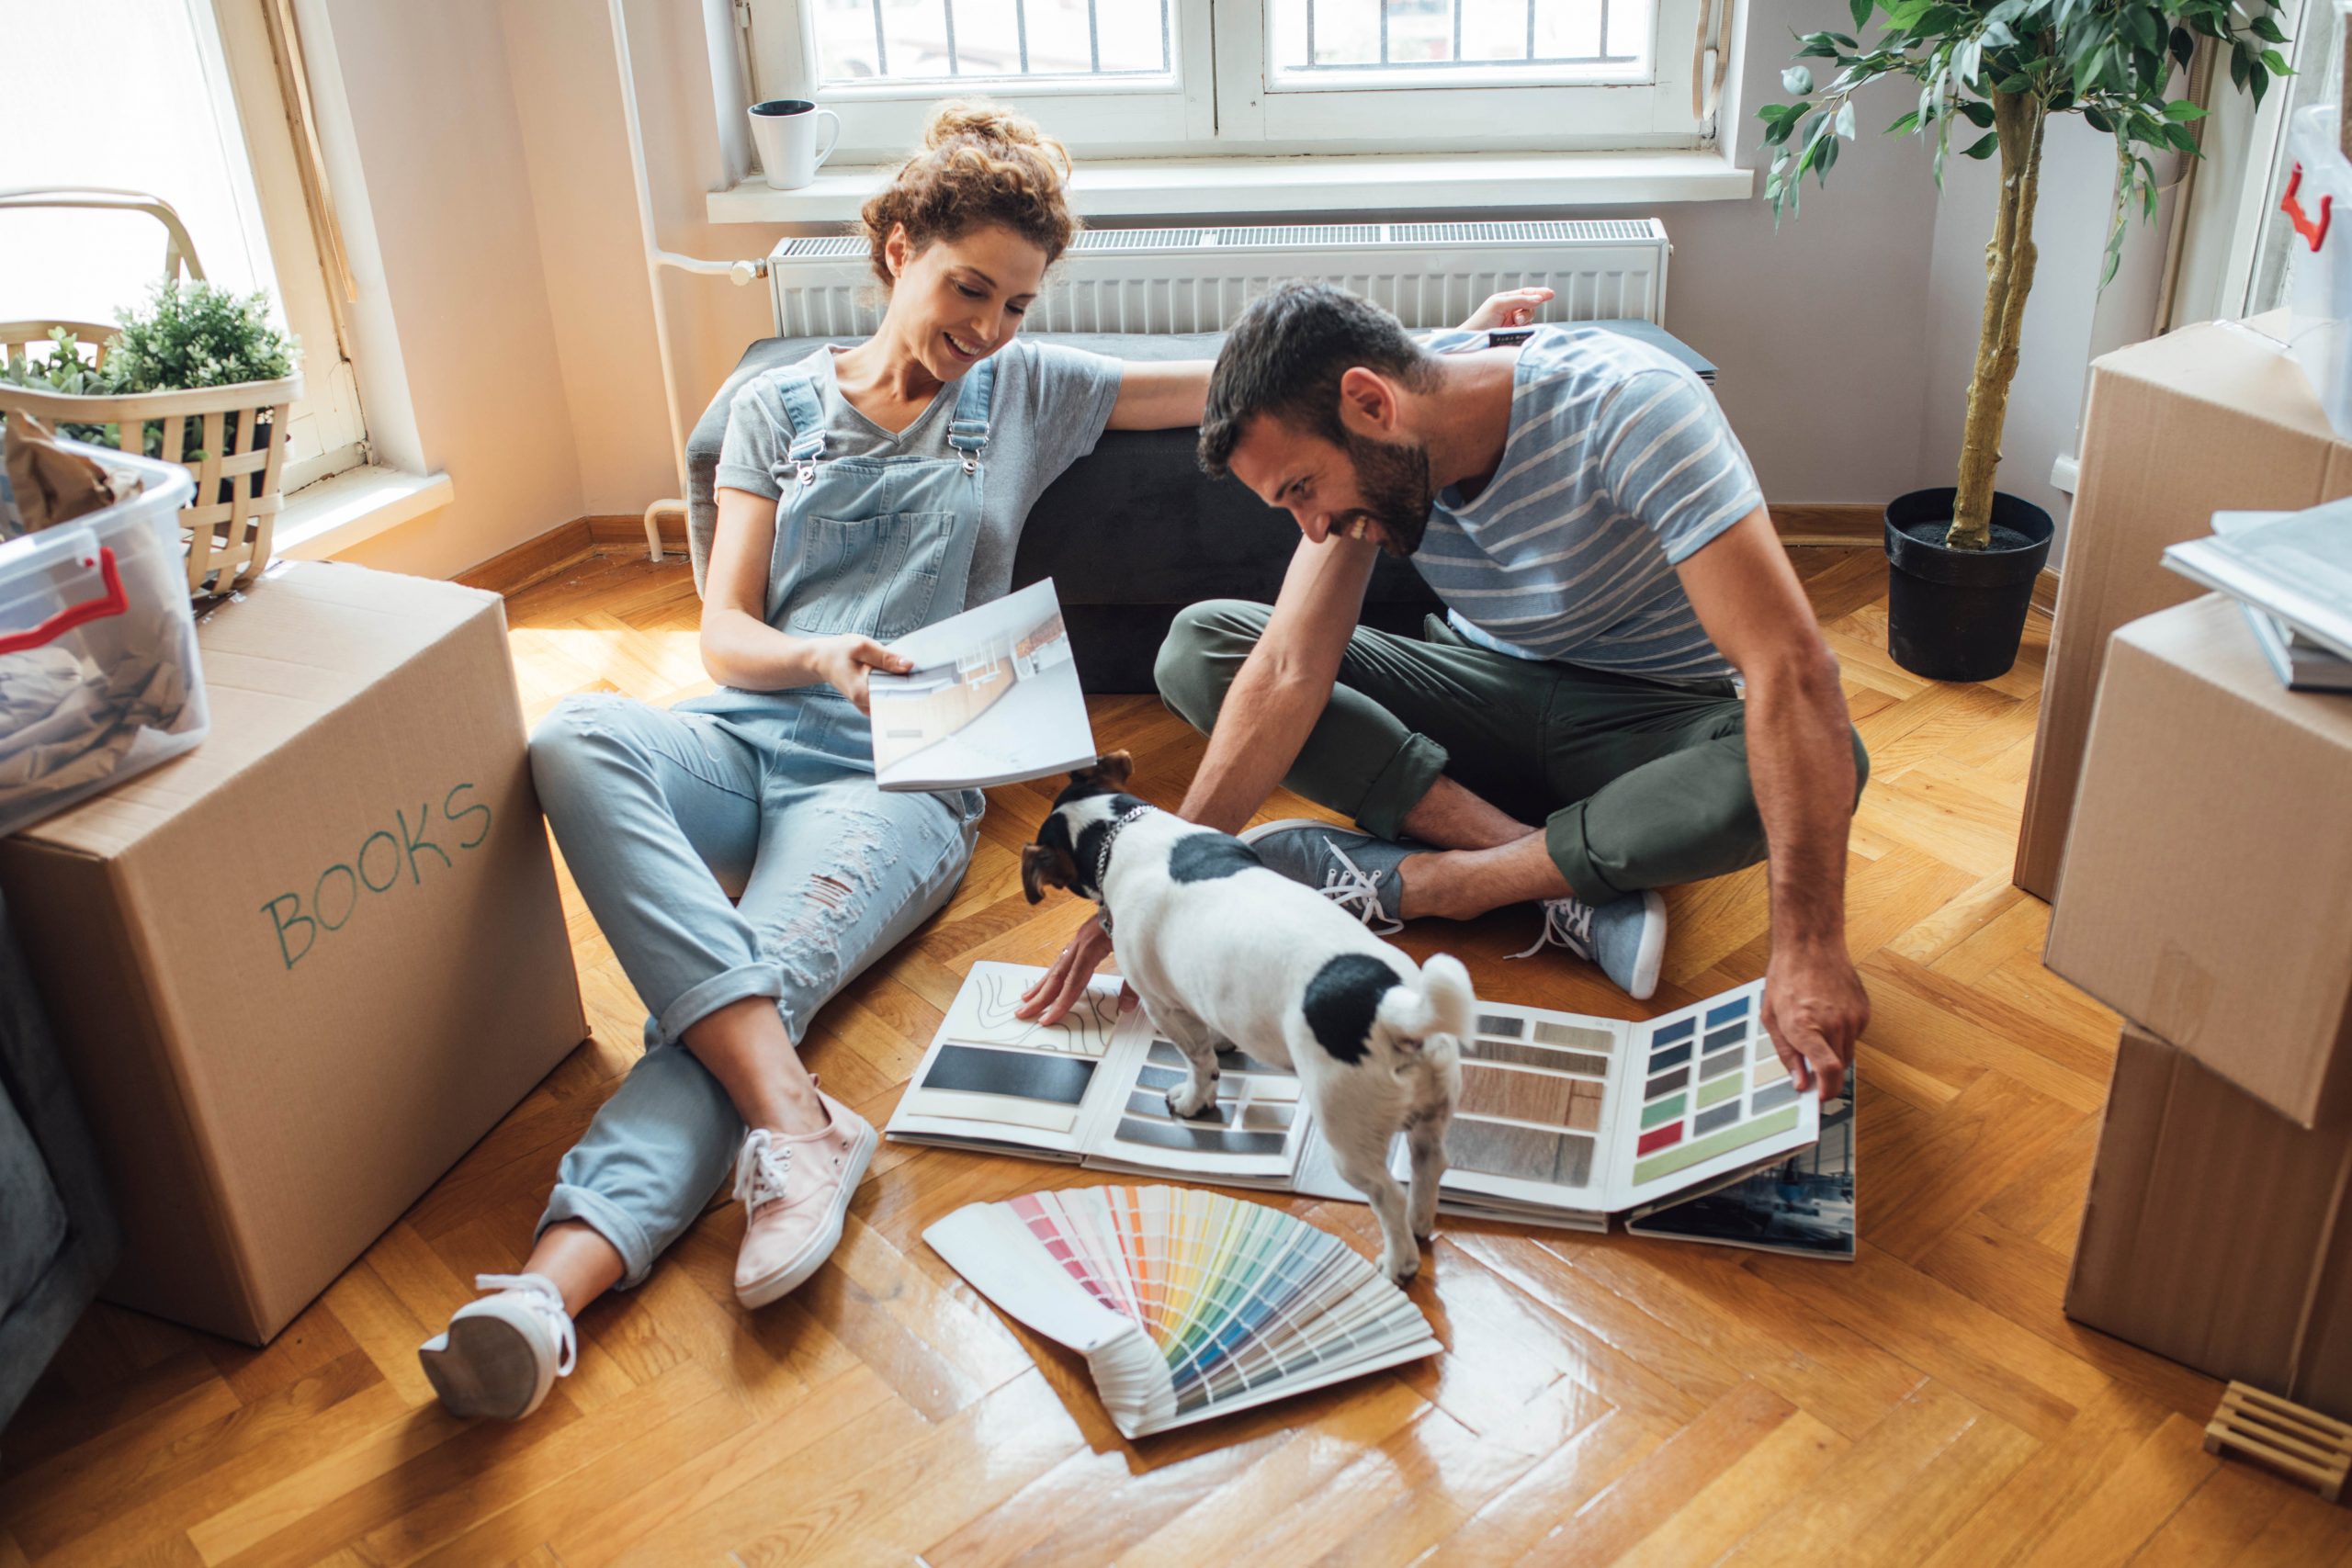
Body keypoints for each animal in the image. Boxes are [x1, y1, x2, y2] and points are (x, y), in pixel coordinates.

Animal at [1015, 751, 1458, 1279]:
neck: (1120, 832)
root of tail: (1392, 1007)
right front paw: (1224, 1041)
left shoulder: (1162, 1006)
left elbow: (1199, 1063)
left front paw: (1193, 1101)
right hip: (1431, 1112)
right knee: (1428, 1164)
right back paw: (1420, 1223)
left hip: (1348, 1132)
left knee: (1386, 1195)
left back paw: (1398, 1263)